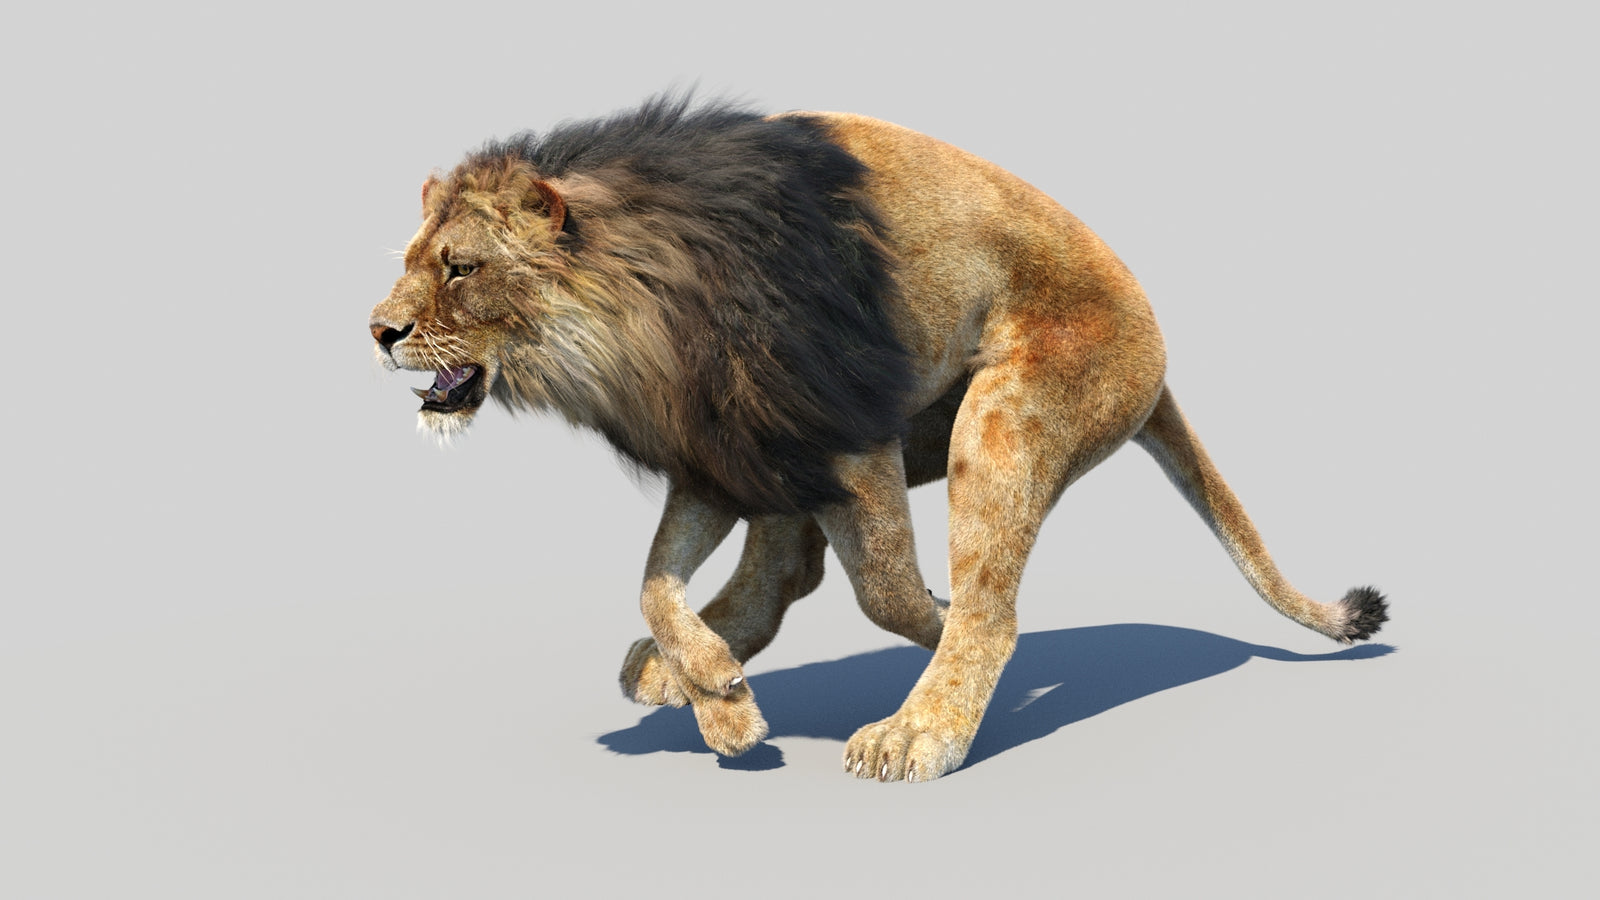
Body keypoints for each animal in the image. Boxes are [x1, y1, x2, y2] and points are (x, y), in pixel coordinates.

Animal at [370, 96, 1388, 782]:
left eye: (460, 268)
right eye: (412, 262)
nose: (377, 330)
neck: (646, 306)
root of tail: (1158, 342)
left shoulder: (843, 425)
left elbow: (892, 590)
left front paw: (928, 631)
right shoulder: (721, 447)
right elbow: (656, 583)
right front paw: (721, 700)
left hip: (1004, 414)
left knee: (982, 605)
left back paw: (922, 725)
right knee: (787, 568)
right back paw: (689, 666)